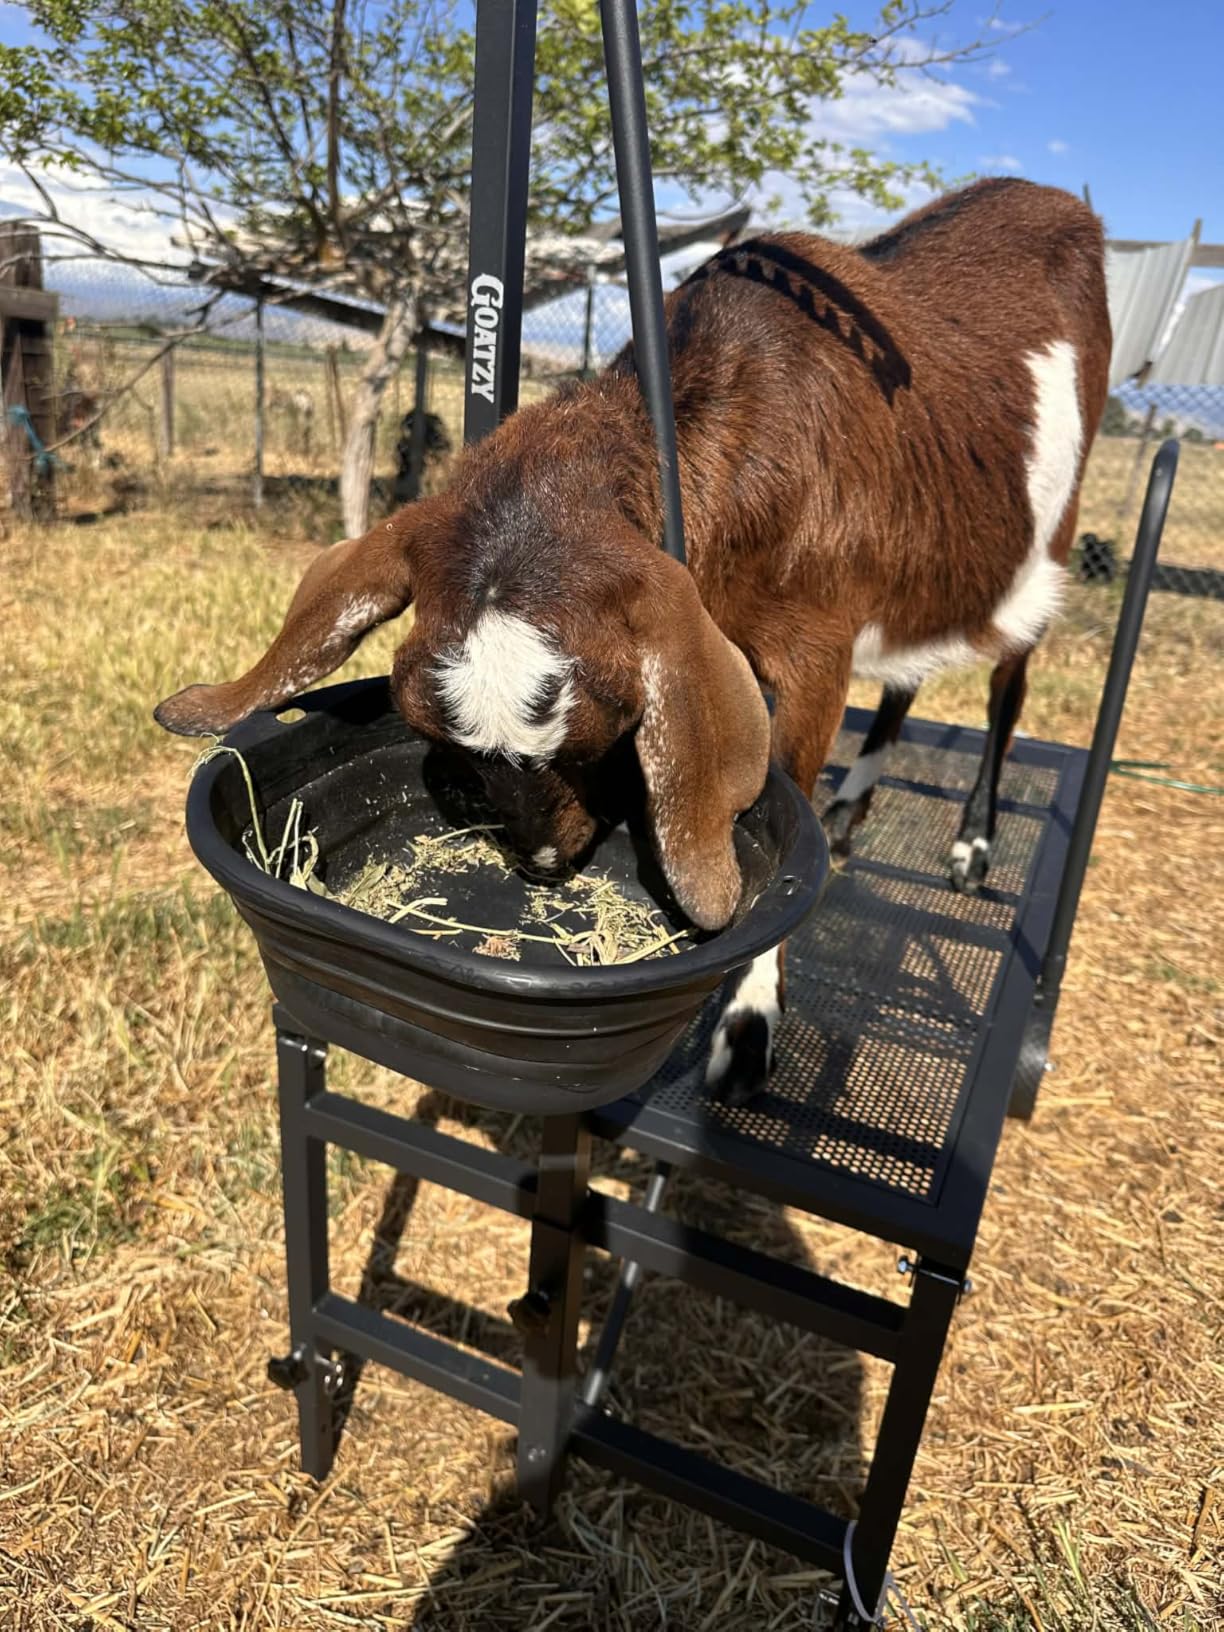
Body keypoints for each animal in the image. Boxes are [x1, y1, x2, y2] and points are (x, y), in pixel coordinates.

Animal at [155, 178, 1111, 1107]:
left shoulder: (817, 650)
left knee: (1010, 674)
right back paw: (853, 810)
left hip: (1052, 529)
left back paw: (972, 845)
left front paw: (749, 1019)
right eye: (450, 746)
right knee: (909, 674)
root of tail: (1058, 201)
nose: (542, 865)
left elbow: (791, 802)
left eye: (604, 739)